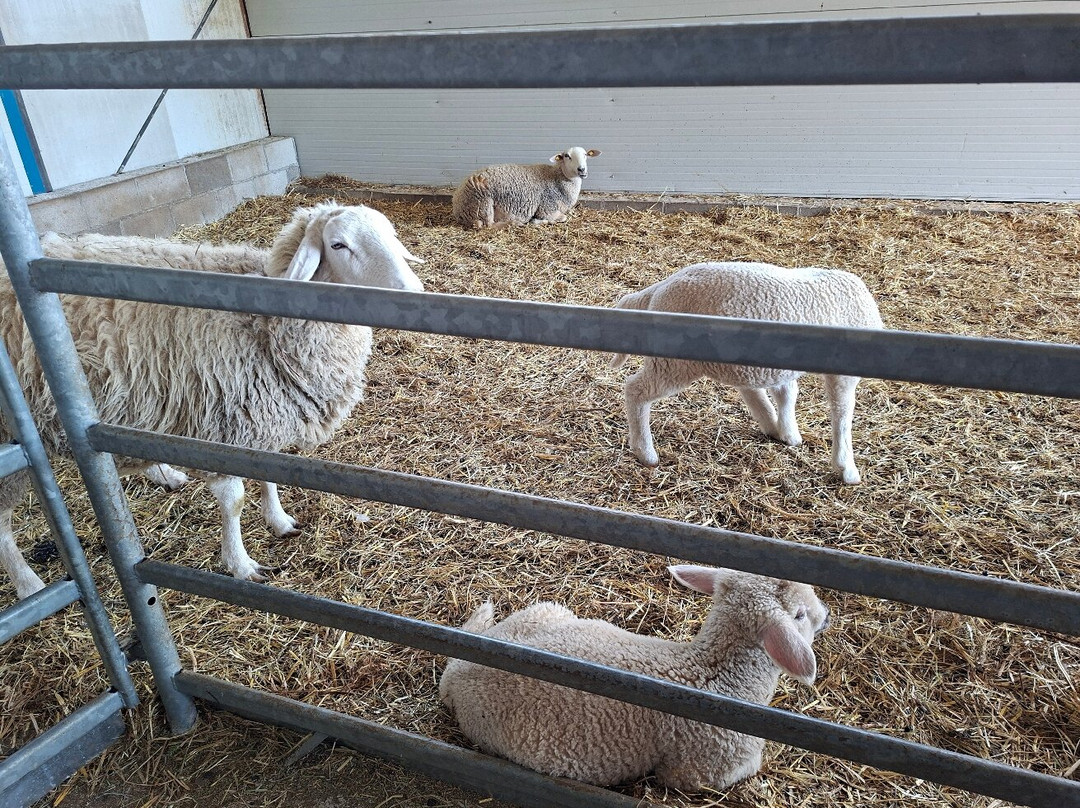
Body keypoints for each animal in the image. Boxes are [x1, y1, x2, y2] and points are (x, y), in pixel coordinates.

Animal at [0, 201, 424, 595]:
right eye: (338, 245)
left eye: (391, 234)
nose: (415, 293)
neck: (268, 325)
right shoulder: (220, 430)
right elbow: (233, 501)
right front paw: (240, 564)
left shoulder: (258, 423)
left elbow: (269, 478)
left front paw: (279, 521)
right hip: (10, 439)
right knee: (3, 523)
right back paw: (29, 585)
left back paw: (164, 473)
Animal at [439, 565, 830, 792]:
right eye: (799, 614)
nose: (825, 615)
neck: (713, 672)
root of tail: (456, 671)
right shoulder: (704, 772)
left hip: (547, 612)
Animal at [451, 147, 601, 229]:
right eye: (567, 156)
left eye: (586, 155)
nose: (582, 170)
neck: (557, 178)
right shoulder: (547, 208)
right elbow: (562, 218)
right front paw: (536, 221)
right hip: (482, 204)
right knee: (487, 225)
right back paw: (514, 223)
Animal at [609, 262, 884, 484]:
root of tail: (660, 288)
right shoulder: (844, 371)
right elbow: (842, 414)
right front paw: (847, 468)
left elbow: (787, 392)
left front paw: (788, 432)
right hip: (674, 361)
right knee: (636, 390)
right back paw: (645, 452)